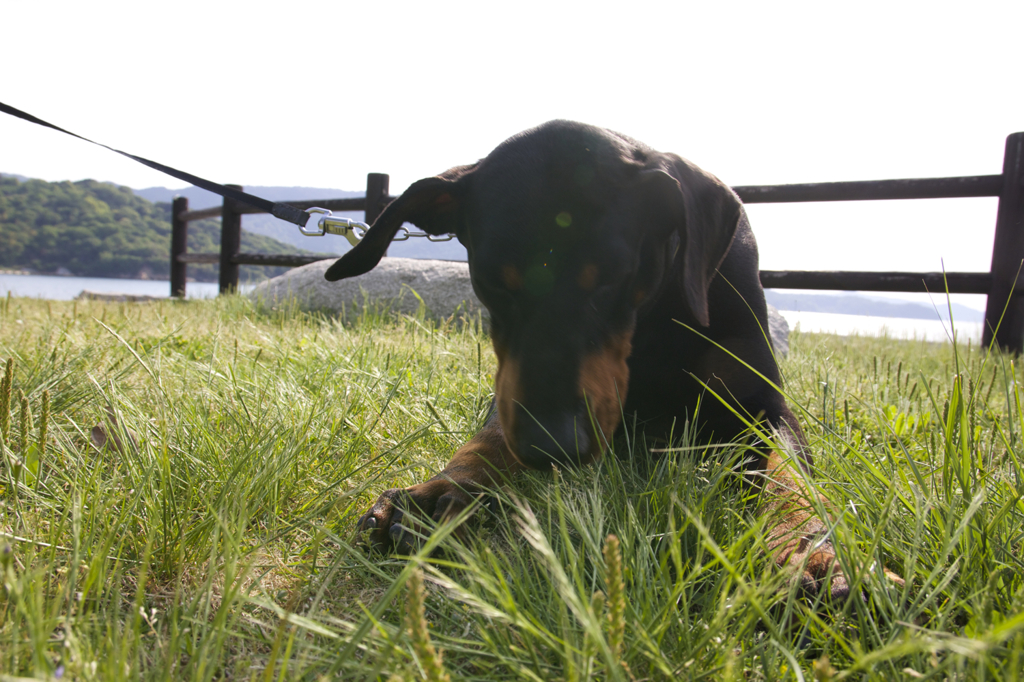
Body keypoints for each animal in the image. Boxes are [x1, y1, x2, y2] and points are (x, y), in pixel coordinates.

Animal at [325, 120, 897, 593]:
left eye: (614, 277)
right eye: (491, 280)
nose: (550, 446)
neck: (655, 317)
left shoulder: (762, 406)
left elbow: (787, 476)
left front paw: (814, 554)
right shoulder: (509, 392)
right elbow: (490, 434)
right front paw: (443, 487)